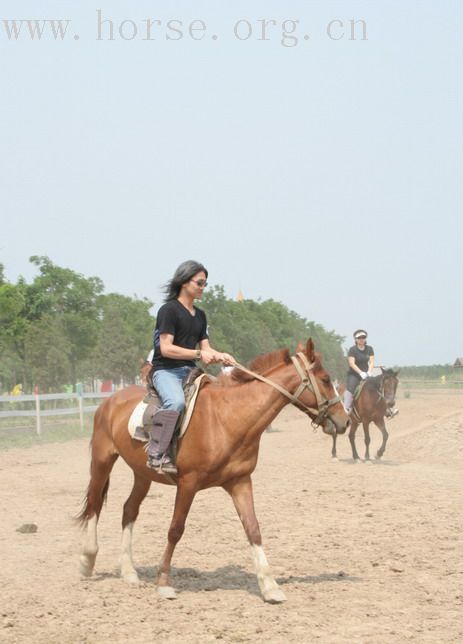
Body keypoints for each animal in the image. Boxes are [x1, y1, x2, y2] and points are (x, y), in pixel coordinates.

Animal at [78, 342, 350, 604]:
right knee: (94, 504)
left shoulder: (240, 482)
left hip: (142, 474)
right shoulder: (188, 483)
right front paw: (164, 581)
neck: (227, 418)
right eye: (326, 379)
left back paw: (128, 571)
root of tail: (110, 401)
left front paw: (270, 586)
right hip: (102, 461)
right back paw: (87, 561)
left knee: (129, 510)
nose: (345, 421)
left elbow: (253, 528)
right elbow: (175, 529)